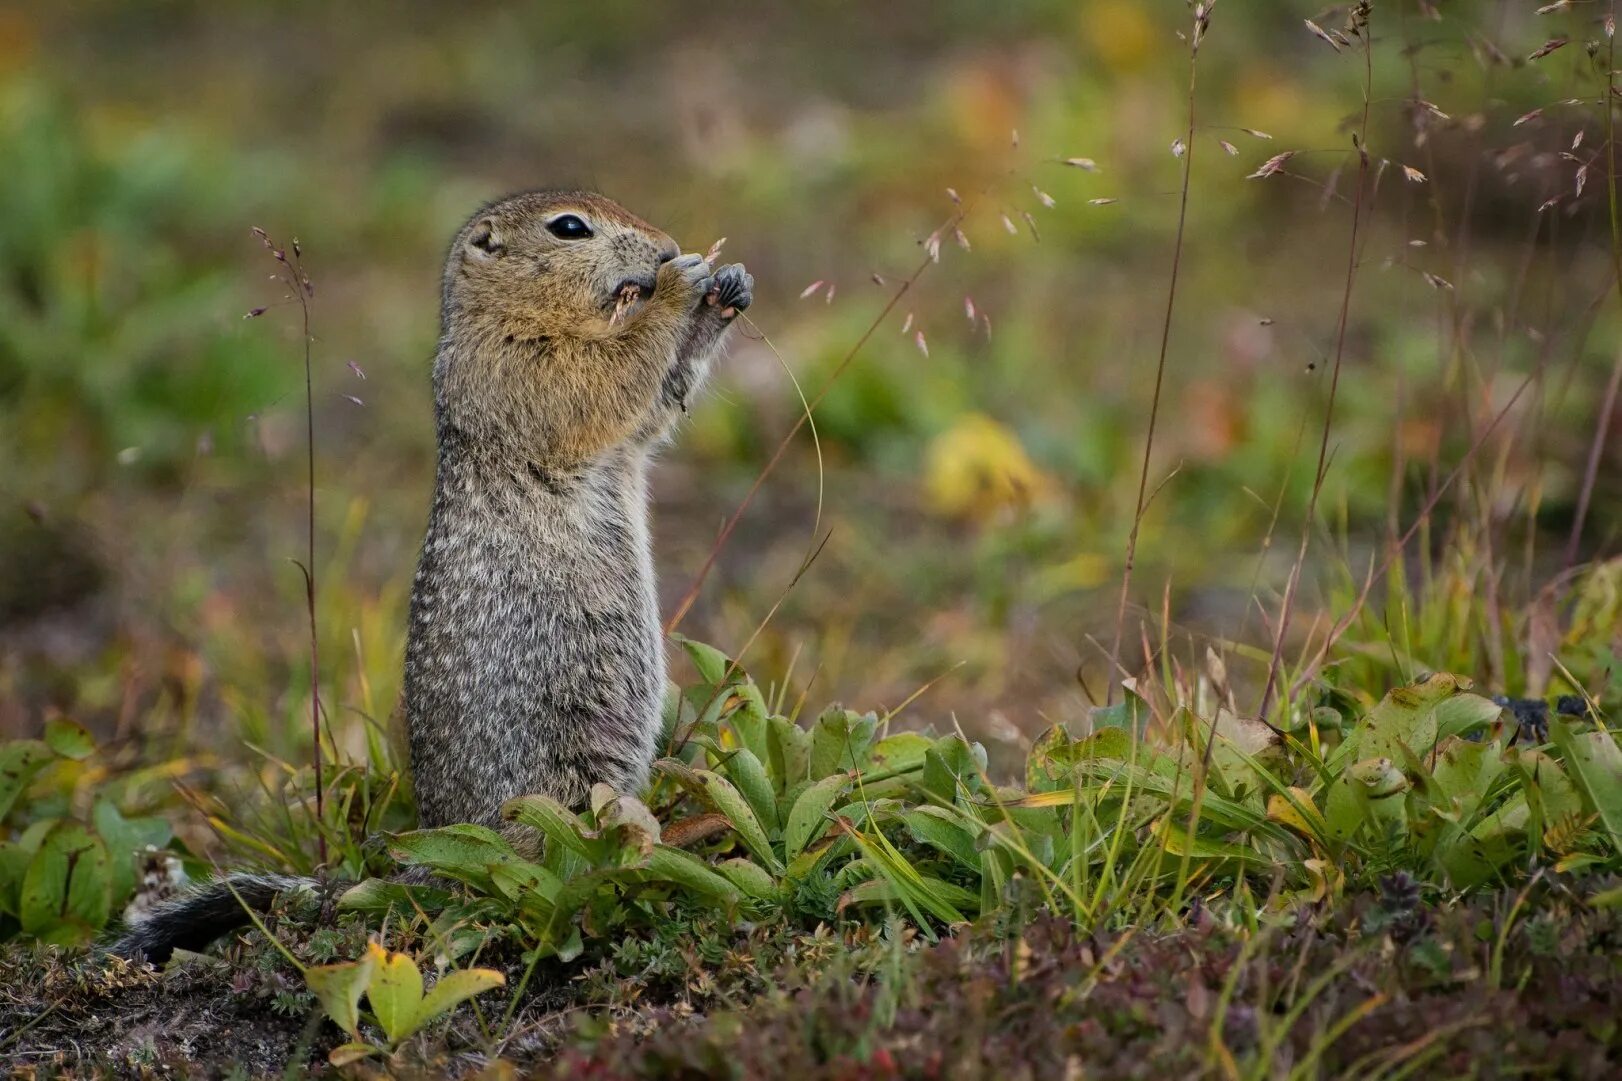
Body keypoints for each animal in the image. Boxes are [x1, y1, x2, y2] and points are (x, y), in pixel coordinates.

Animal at [115, 189, 752, 954]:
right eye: (570, 227)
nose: (665, 248)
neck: (506, 316)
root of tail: (424, 866)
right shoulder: (517, 365)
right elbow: (603, 379)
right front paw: (682, 287)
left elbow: (654, 406)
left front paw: (727, 287)